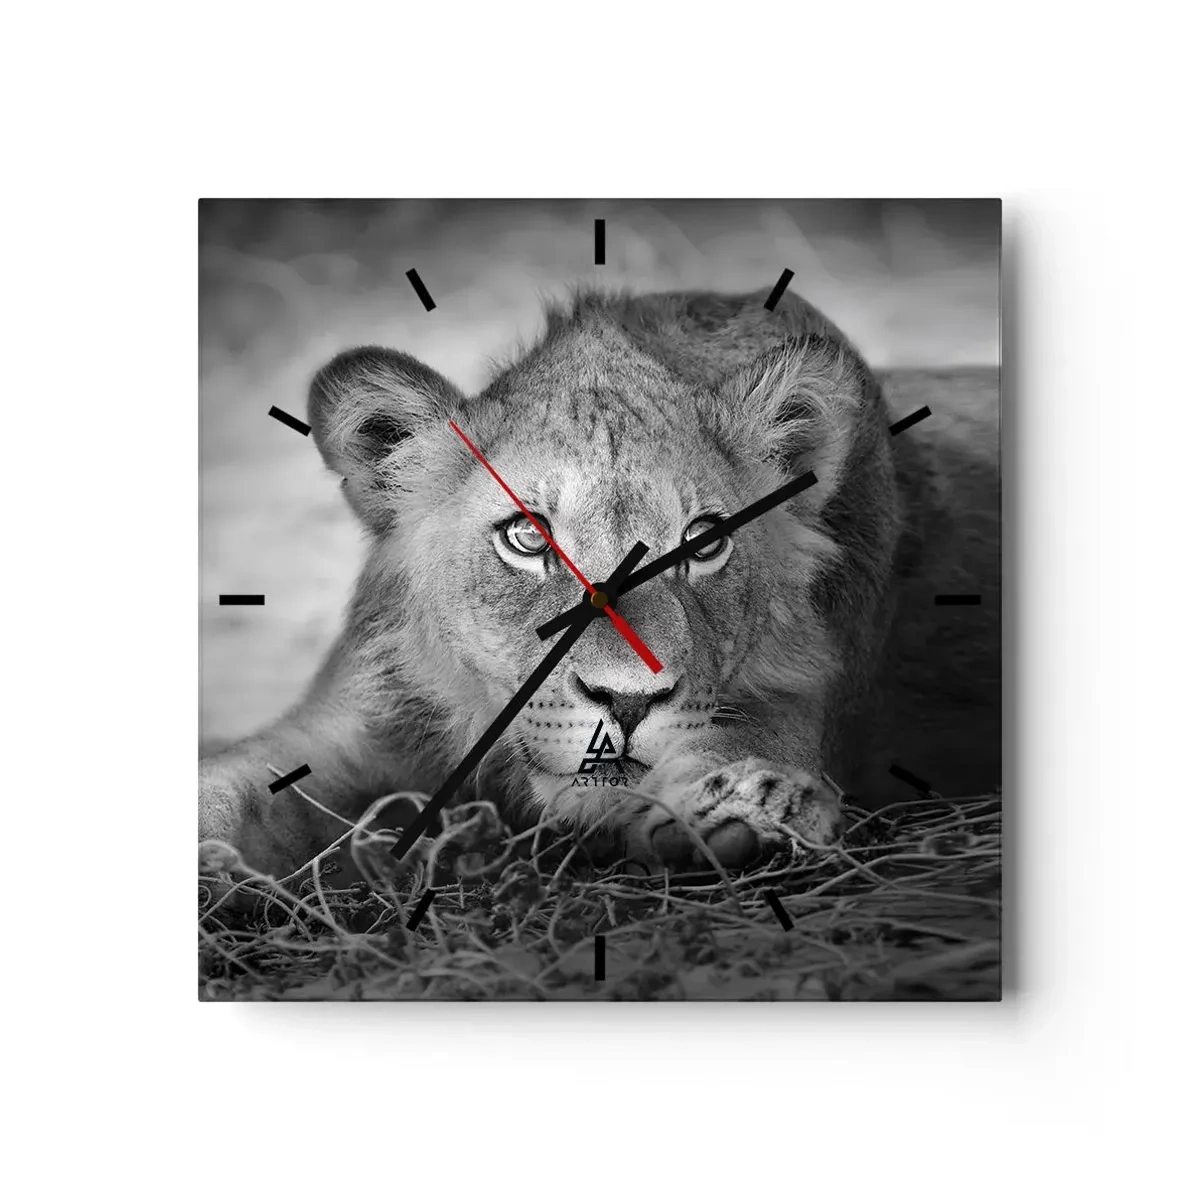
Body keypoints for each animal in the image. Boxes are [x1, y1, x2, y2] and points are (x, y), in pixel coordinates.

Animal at [200, 288, 999, 878]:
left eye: (704, 543)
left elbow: (746, 747)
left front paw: (748, 810)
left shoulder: (801, 695)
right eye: (528, 537)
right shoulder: (356, 722)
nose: (628, 701)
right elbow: (228, 788)